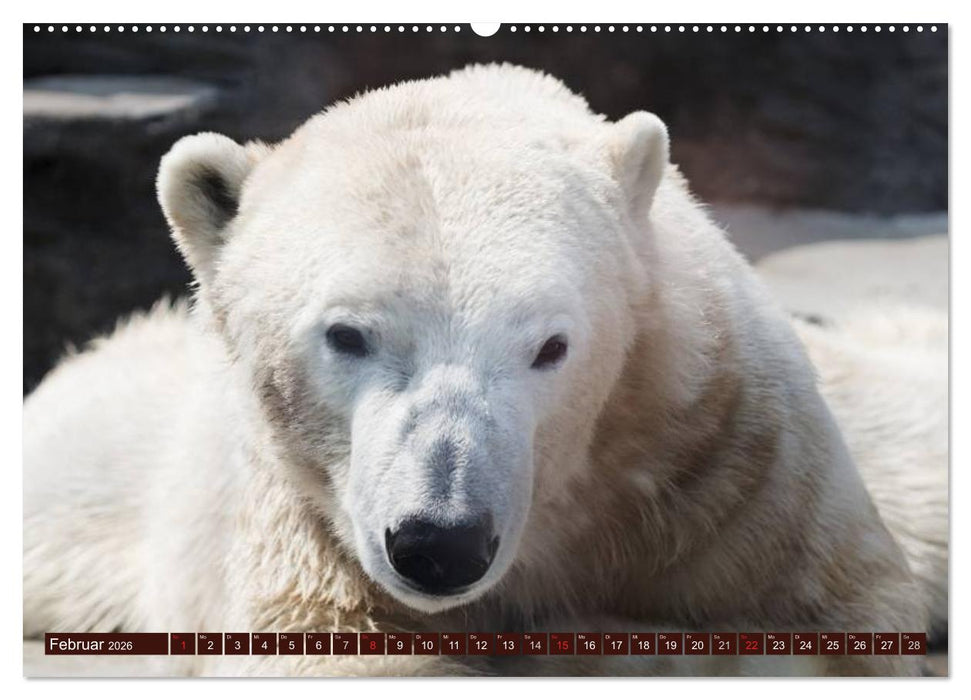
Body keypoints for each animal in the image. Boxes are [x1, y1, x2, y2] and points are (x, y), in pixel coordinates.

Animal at [24, 64, 940, 676]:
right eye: (347, 334)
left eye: (549, 346)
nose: (440, 543)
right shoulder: (304, 530)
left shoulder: (729, 457)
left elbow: (836, 623)